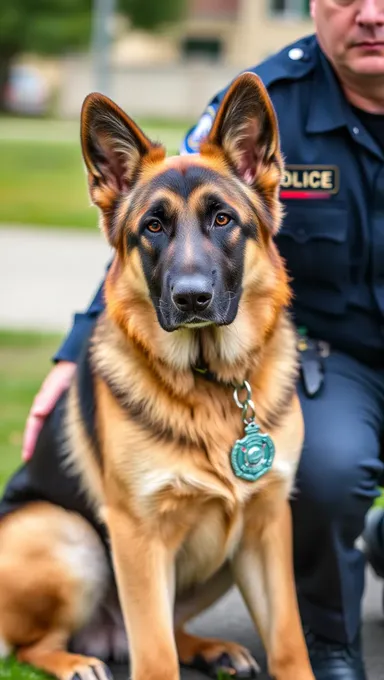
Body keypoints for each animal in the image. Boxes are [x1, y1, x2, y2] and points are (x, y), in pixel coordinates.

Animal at [0, 74, 314, 680]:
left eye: (223, 219)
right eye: (153, 226)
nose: (191, 298)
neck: (211, 382)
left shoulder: (267, 526)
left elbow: (289, 640)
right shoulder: (138, 539)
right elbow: (154, 656)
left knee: (171, 628)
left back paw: (208, 648)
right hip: (68, 535)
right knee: (34, 643)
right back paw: (74, 660)